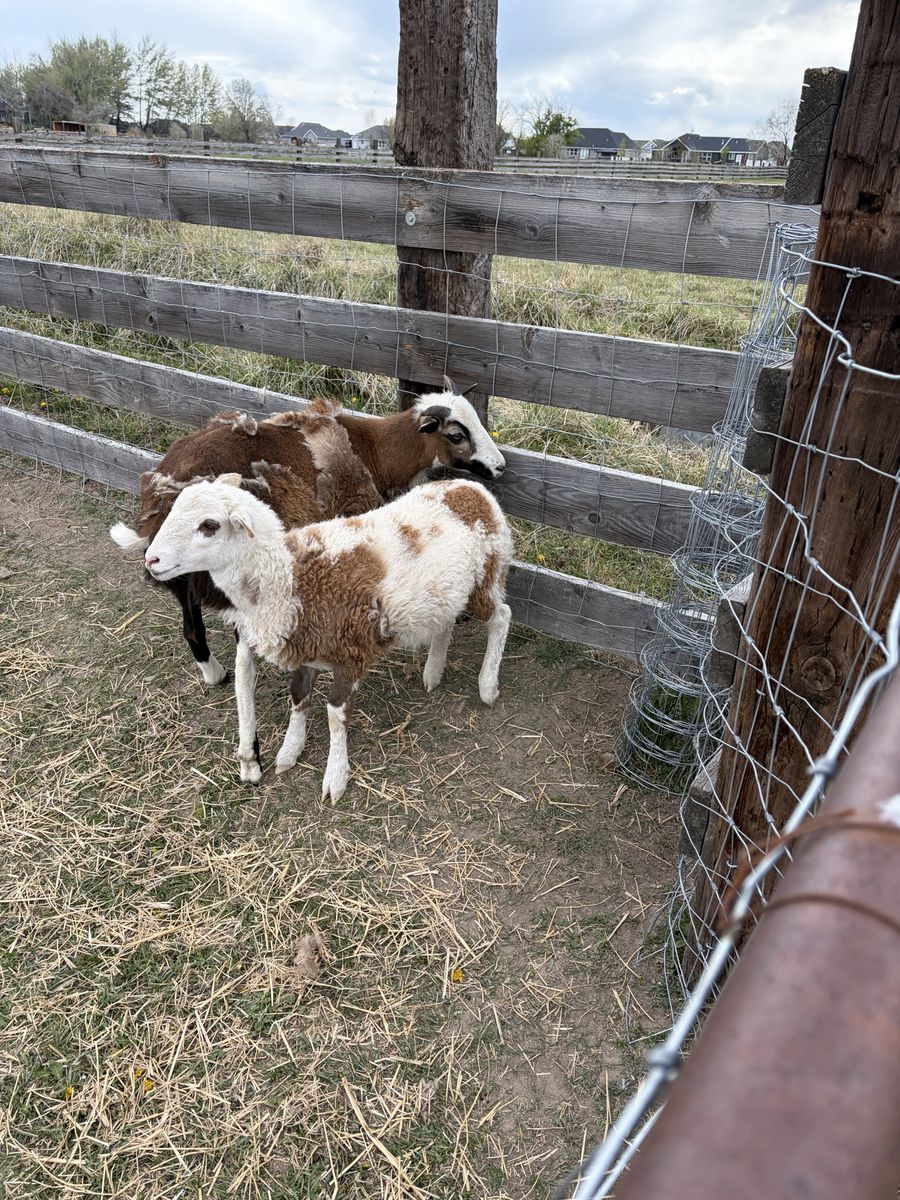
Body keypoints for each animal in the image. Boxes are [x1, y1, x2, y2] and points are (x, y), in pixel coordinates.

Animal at [110, 383, 505, 690]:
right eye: (456, 435)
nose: (500, 466)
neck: (375, 448)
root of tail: (159, 495)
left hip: (180, 574)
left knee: (192, 630)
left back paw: (215, 675)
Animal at [141, 474, 513, 799]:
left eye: (209, 525)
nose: (151, 559)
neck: (292, 579)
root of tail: (471, 489)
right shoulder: (308, 646)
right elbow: (298, 696)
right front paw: (290, 751)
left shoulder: (351, 653)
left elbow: (336, 714)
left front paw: (335, 776)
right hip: (445, 593)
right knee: (446, 622)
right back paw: (433, 673)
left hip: (487, 575)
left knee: (502, 617)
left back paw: (488, 686)